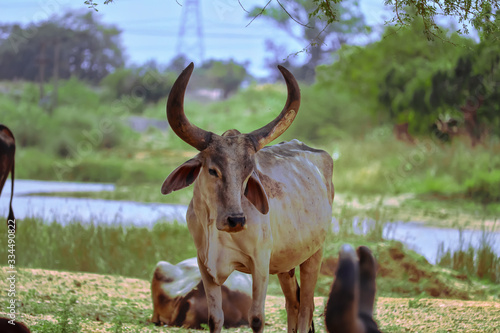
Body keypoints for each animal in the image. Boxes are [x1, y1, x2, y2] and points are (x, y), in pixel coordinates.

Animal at [161, 63, 332, 332]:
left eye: (248, 173)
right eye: (213, 170)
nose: (236, 220)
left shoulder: (260, 263)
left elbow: (256, 318)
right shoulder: (204, 265)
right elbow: (215, 318)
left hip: (315, 253)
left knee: (306, 306)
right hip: (286, 263)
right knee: (293, 303)